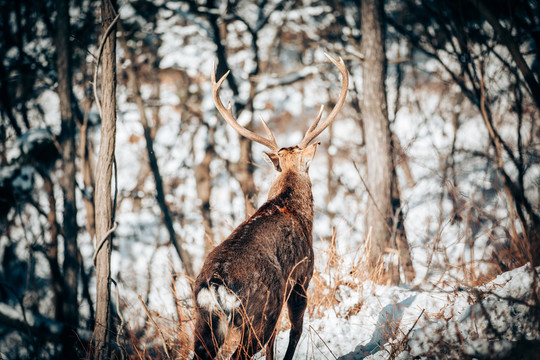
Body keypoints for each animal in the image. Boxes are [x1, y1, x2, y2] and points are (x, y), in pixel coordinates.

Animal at [192, 54, 348, 360]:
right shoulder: (302, 276)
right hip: (260, 309)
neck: (293, 209)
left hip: (206, 318)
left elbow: (274, 343)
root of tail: (215, 283)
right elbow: (295, 331)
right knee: (243, 352)